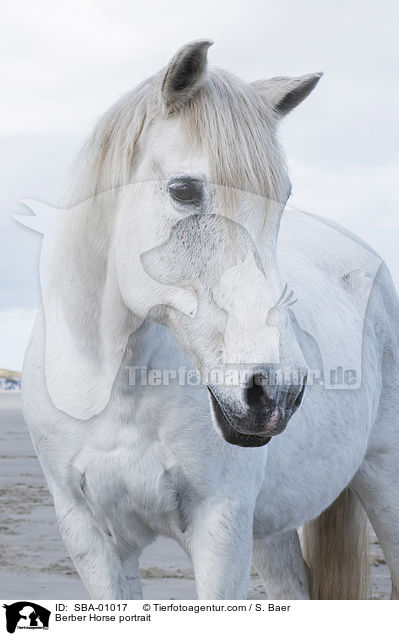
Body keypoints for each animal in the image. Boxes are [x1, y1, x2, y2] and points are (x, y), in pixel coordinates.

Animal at [20, 41, 399, 600]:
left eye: (283, 197)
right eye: (183, 190)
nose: (276, 392)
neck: (119, 390)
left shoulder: (220, 530)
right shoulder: (91, 538)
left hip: (383, 481)